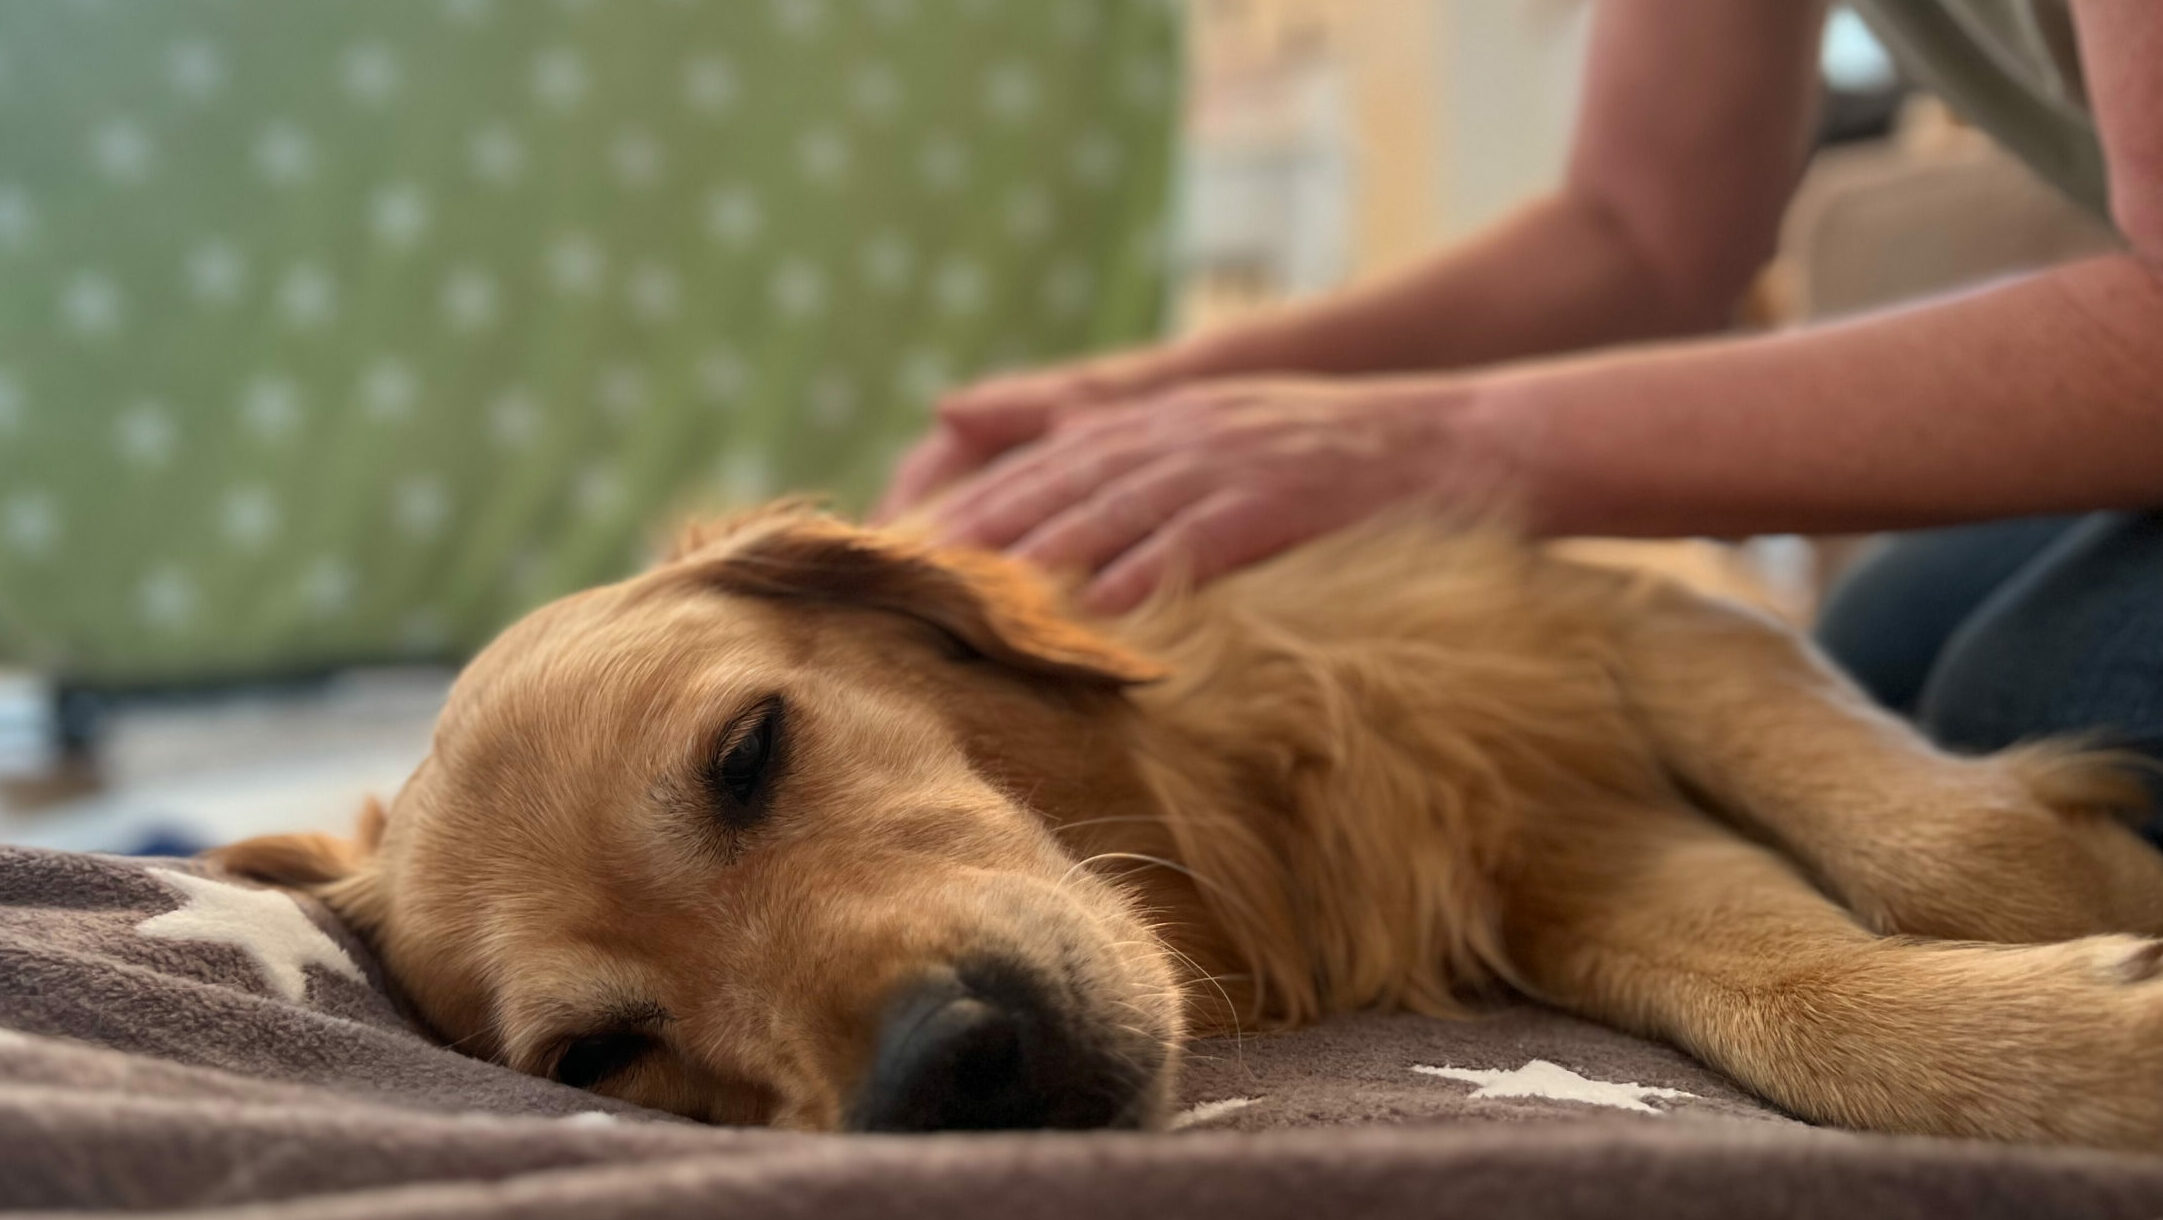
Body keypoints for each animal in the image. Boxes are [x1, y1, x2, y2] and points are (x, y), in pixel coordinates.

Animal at [215, 501, 2163, 1142]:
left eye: (747, 751)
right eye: (601, 1054)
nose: (951, 1069)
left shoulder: (1590, 626)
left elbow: (1948, 848)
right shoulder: (1560, 862)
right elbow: (1795, 1005)